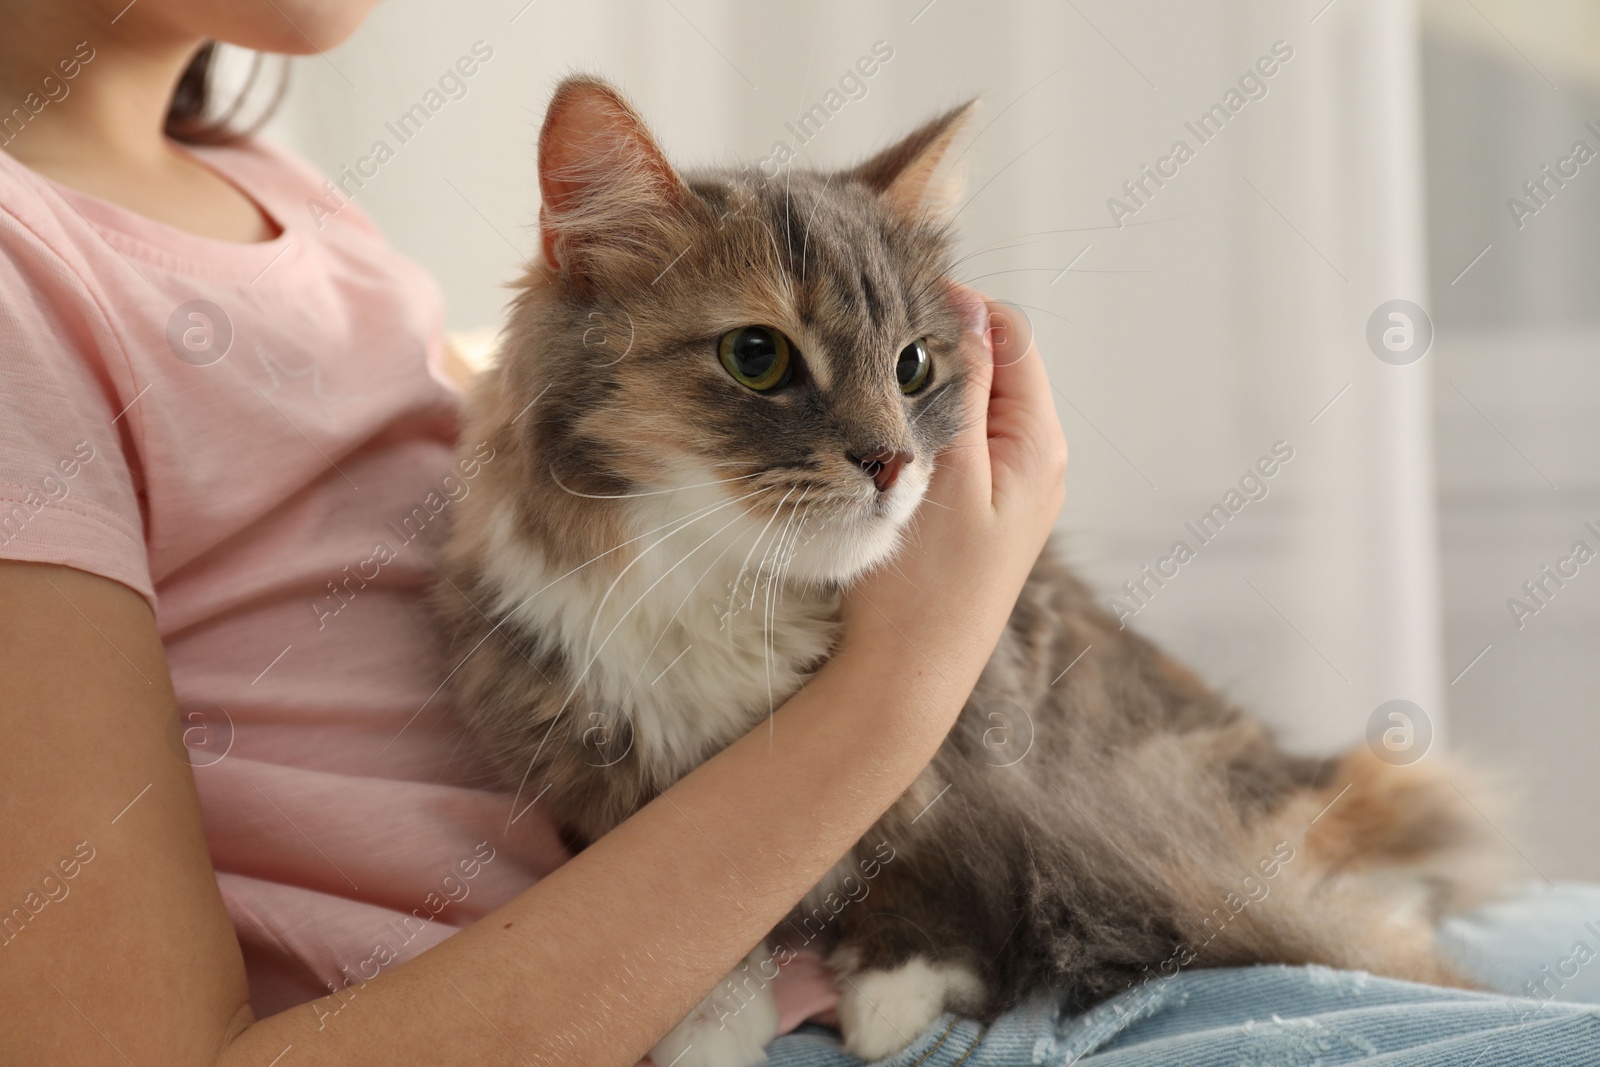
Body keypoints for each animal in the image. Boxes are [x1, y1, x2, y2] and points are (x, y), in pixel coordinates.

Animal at [438, 75, 1497, 1067]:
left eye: (913, 368)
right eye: (756, 356)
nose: (891, 461)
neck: (734, 585)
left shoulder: (990, 726)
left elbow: (926, 862)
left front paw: (893, 996)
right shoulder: (584, 762)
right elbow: (694, 917)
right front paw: (710, 1024)